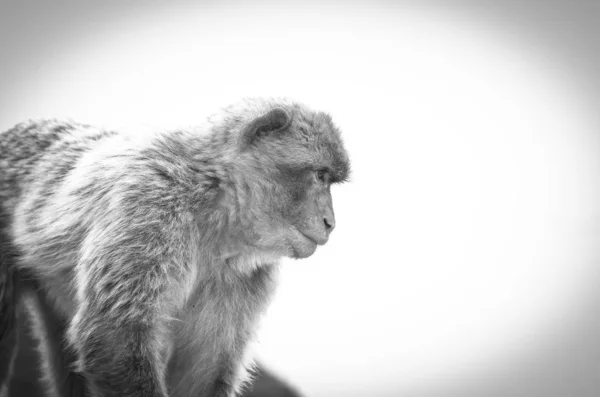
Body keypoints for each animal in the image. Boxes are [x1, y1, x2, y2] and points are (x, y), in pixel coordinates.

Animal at [0, 96, 350, 396]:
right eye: (320, 176)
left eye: (328, 179)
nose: (330, 222)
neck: (214, 207)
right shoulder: (151, 209)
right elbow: (114, 336)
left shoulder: (249, 277)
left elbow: (203, 371)